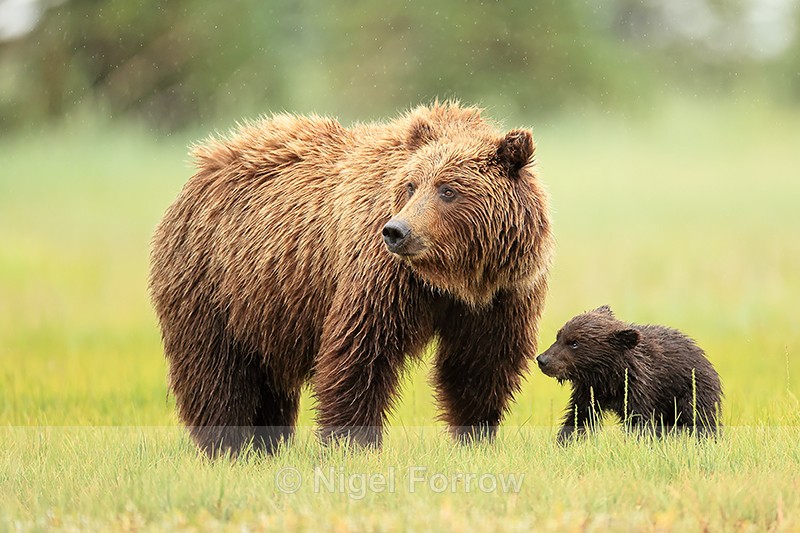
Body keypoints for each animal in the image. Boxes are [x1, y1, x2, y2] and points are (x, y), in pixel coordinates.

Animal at [149, 101, 554, 457]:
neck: (454, 276)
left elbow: (479, 365)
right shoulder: (385, 278)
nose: (396, 231)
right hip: (209, 283)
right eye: (411, 185)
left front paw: (475, 439)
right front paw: (353, 444)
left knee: (267, 379)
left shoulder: (503, 295)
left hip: (268, 306)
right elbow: (360, 351)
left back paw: (266, 444)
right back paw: (226, 446)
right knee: (215, 371)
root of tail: (205, 161)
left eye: (448, 189)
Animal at [536, 306, 722, 443]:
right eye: (558, 336)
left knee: (700, 419)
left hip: (690, 392)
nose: (543, 360)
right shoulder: (590, 392)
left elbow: (639, 422)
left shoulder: (638, 390)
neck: (608, 377)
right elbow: (580, 417)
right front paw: (564, 443)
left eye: (574, 343)